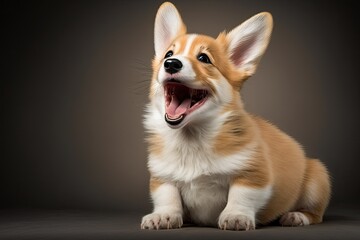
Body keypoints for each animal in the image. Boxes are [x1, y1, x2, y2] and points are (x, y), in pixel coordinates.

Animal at [140, 1, 330, 231]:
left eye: (204, 58)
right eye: (168, 54)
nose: (171, 63)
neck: (192, 138)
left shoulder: (253, 174)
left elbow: (241, 196)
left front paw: (236, 216)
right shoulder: (162, 177)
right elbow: (167, 196)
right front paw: (163, 216)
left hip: (317, 177)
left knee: (316, 214)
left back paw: (296, 216)